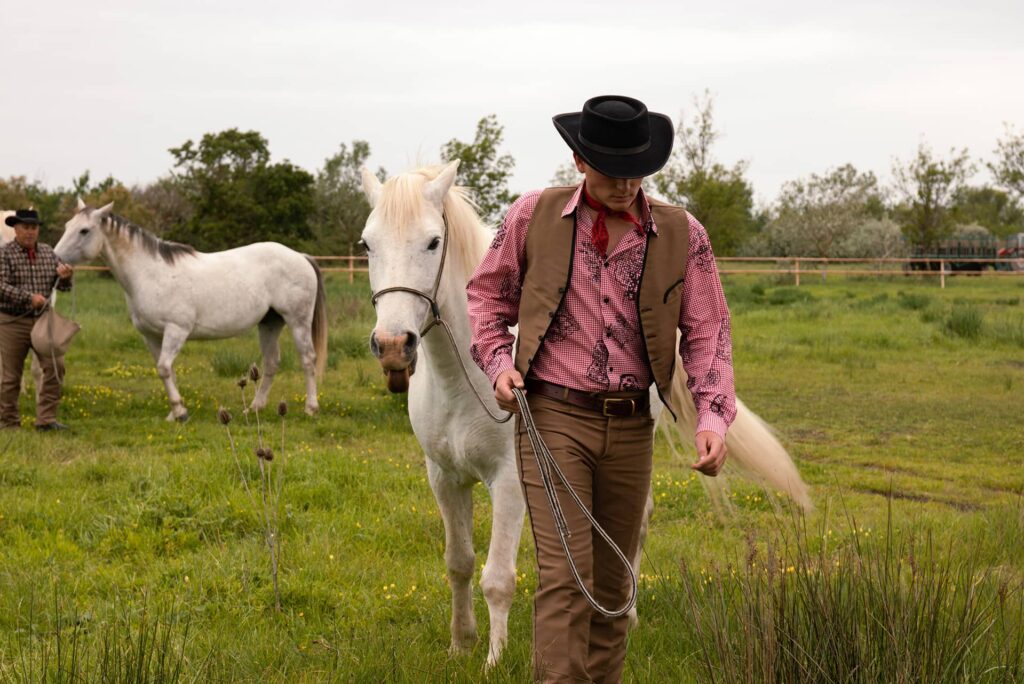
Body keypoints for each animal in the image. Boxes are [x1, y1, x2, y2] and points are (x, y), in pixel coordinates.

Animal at [55, 200, 327, 419]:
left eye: (84, 230)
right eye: (67, 224)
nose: (56, 260)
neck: (150, 274)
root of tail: (301, 257)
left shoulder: (177, 330)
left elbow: (164, 368)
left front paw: (180, 412)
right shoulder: (151, 336)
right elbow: (168, 372)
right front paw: (176, 413)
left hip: (297, 321)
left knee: (307, 359)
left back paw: (310, 409)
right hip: (270, 322)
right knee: (271, 363)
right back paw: (254, 408)